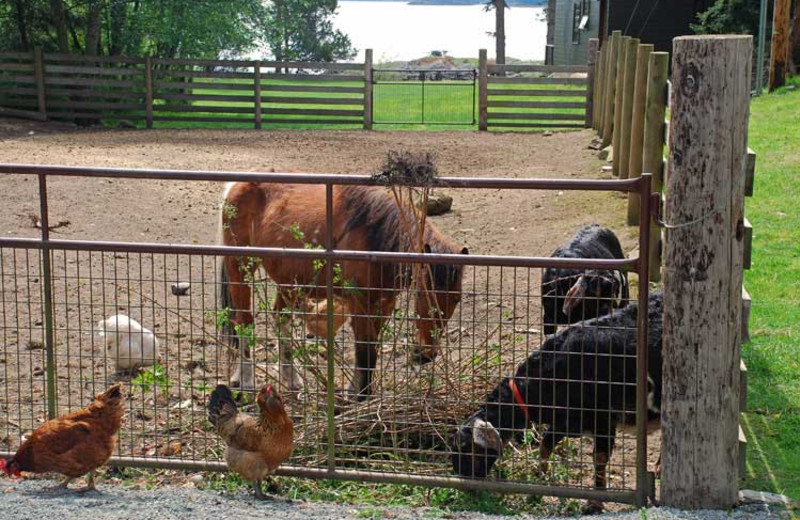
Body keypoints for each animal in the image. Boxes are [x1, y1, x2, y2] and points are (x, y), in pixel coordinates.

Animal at [219, 183, 468, 398]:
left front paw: (356, 389)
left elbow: (370, 347)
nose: (426, 354)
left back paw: (292, 380)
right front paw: (360, 395)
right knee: (244, 321)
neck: (376, 238)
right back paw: (247, 379)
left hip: (289, 282)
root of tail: (235, 186)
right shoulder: (359, 303)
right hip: (240, 268)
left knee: (281, 319)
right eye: (423, 293)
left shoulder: (383, 304)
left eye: (456, 299)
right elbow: (365, 350)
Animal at [450, 292, 664, 512]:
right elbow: (546, 442)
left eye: (466, 448)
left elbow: (599, 458)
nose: (462, 479)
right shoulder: (567, 419)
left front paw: (595, 503)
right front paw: (541, 475)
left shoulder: (602, 418)